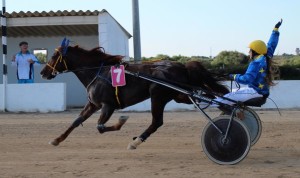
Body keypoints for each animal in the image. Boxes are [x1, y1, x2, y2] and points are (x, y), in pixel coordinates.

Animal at [39, 39, 227, 149]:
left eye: (54, 55)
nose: (42, 72)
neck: (97, 72)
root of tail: (181, 65)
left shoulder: (108, 105)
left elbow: (100, 127)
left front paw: (122, 121)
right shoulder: (93, 104)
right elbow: (77, 121)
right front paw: (57, 139)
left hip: (157, 95)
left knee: (157, 122)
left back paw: (136, 141)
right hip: (180, 95)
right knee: (210, 97)